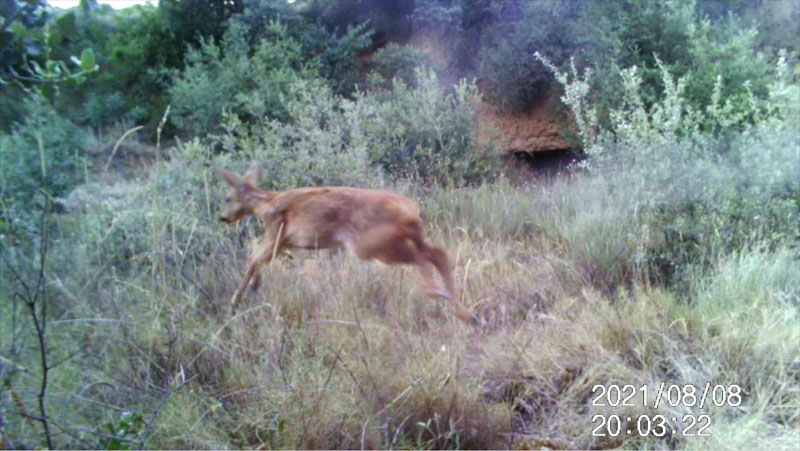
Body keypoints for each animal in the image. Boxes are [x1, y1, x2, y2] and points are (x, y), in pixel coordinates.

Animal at [216, 164, 478, 326]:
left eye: (228, 198)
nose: (223, 217)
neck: (265, 204)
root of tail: (411, 208)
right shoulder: (283, 243)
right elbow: (258, 261)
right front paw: (254, 286)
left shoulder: (277, 233)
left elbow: (253, 260)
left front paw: (235, 301)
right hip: (400, 237)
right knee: (437, 253)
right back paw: (467, 314)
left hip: (371, 244)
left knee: (426, 257)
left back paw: (440, 295)